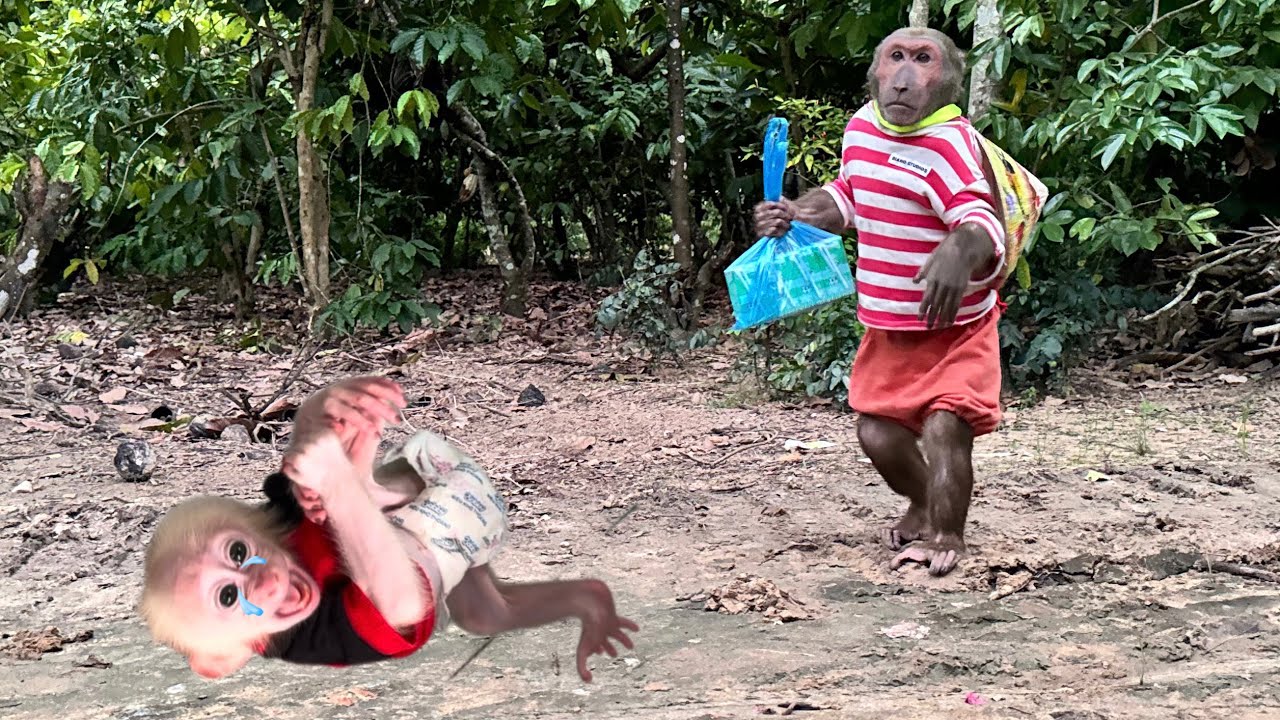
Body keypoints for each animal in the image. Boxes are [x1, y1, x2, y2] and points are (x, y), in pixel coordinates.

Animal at [140, 377, 637, 681]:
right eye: (227, 597)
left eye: (238, 552)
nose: (261, 578)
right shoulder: (325, 632)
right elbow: (401, 604)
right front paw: (325, 463)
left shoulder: (278, 519)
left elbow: (285, 499)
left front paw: (323, 422)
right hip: (464, 513)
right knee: (480, 600)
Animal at [753, 28, 1008, 577]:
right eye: (897, 56)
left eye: (924, 58)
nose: (905, 78)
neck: (906, 135)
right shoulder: (860, 129)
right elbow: (844, 197)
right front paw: (776, 217)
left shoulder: (957, 156)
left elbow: (977, 219)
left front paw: (953, 257)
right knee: (878, 432)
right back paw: (920, 513)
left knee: (944, 429)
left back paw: (944, 540)